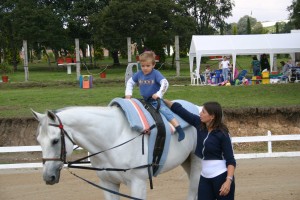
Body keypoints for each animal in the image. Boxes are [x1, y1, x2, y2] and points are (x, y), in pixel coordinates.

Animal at [32, 105, 202, 199]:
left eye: (55, 141)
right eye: (38, 140)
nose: (48, 177)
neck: (113, 138)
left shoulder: (138, 184)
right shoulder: (108, 184)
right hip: (187, 162)